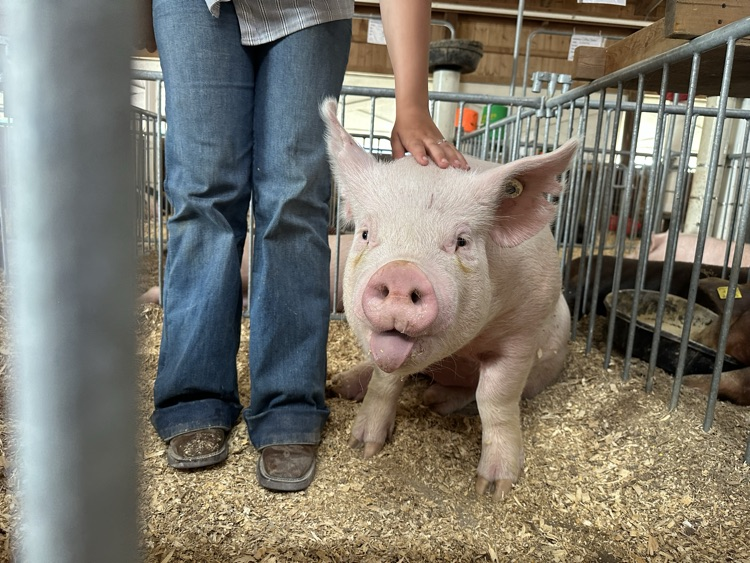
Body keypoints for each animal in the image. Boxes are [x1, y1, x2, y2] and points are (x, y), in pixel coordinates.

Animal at [321, 97, 577, 499]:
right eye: (365, 234)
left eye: (461, 241)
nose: (400, 273)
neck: (463, 350)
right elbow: (385, 382)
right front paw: (362, 447)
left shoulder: (525, 328)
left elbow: (496, 399)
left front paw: (494, 489)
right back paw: (342, 385)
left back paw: (435, 401)